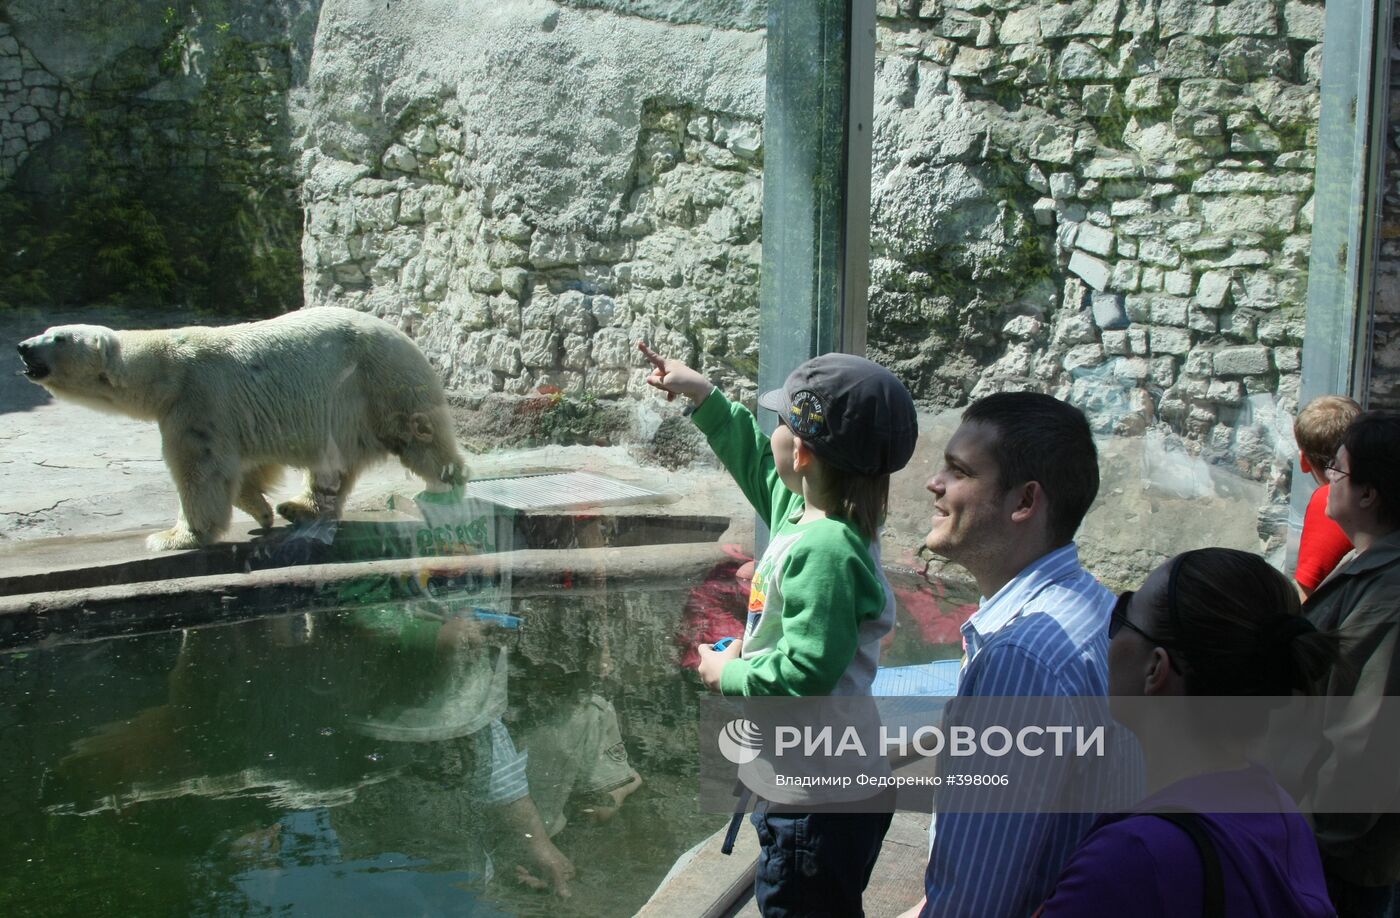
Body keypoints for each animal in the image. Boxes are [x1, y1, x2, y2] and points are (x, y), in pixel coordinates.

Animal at [15, 307, 470, 551]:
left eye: (56, 337)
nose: (22, 346)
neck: (164, 368)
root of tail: (403, 335)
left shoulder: (197, 400)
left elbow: (201, 469)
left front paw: (173, 536)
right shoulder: (230, 414)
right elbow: (247, 466)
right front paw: (262, 510)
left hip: (379, 381)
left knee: (418, 435)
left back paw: (448, 483)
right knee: (334, 465)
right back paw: (298, 508)